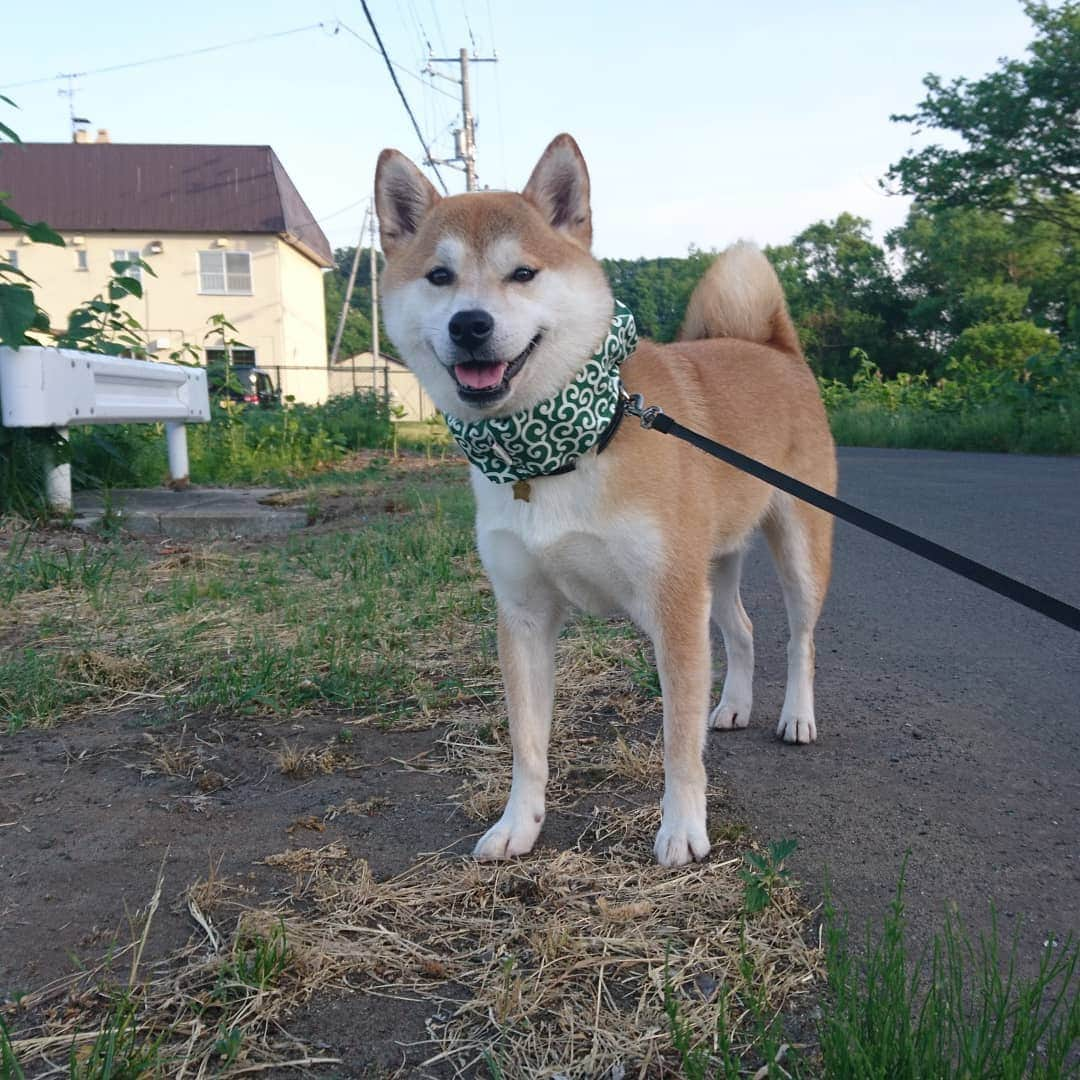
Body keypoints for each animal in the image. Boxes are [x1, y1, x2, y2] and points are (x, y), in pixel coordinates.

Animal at [375, 135, 838, 864]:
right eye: (439, 277)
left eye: (523, 273)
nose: (470, 324)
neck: (563, 449)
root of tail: (773, 348)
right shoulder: (525, 613)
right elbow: (528, 744)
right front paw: (519, 825)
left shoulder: (673, 607)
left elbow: (679, 741)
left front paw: (683, 830)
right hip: (714, 563)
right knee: (741, 628)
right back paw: (735, 706)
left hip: (798, 547)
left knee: (800, 637)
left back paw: (797, 715)